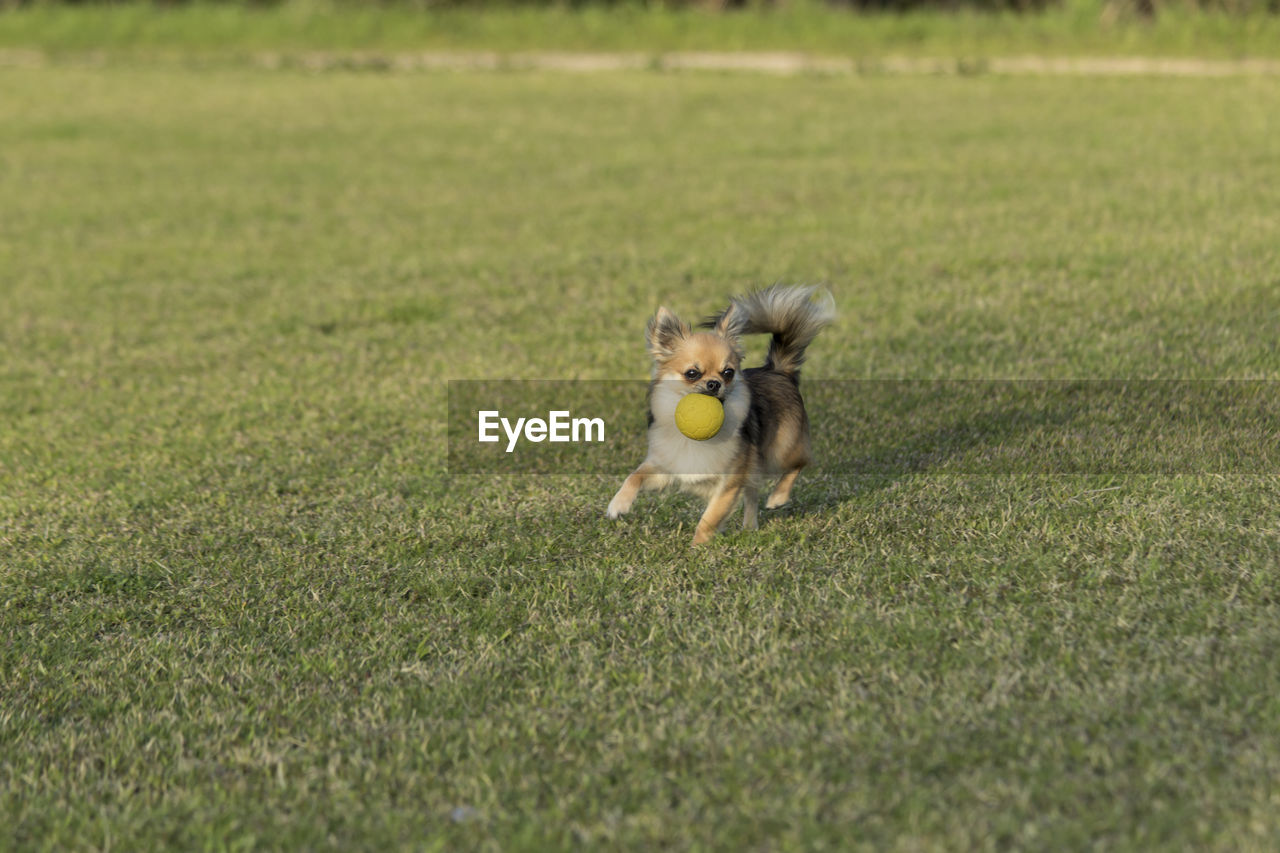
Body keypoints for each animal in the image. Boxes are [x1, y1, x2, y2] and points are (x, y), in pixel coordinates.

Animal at [604, 281, 834, 540]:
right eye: (692, 373)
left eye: (728, 373)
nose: (714, 383)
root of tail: (778, 370)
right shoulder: (666, 469)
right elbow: (635, 475)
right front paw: (618, 504)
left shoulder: (729, 483)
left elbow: (709, 518)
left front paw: (698, 546)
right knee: (752, 492)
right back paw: (750, 526)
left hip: (781, 448)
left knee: (801, 462)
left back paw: (778, 497)